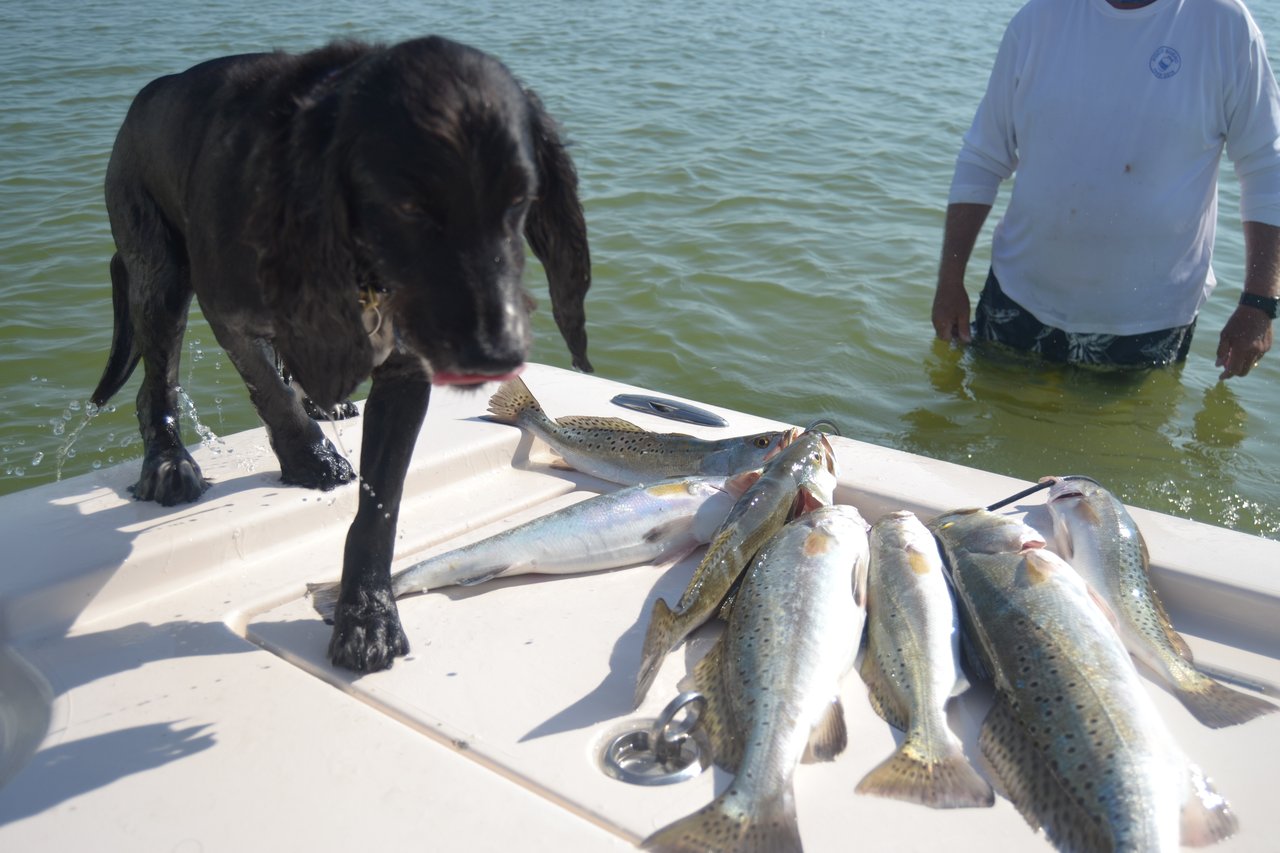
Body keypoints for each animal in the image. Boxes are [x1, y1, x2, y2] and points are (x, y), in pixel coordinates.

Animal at [94, 34, 593, 671]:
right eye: (407, 206)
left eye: (520, 200)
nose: (495, 351)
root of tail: (151, 92)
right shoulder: (228, 309)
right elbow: (270, 392)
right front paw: (309, 457)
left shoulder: (405, 368)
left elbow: (380, 507)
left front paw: (367, 613)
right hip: (159, 271)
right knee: (156, 381)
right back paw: (168, 462)